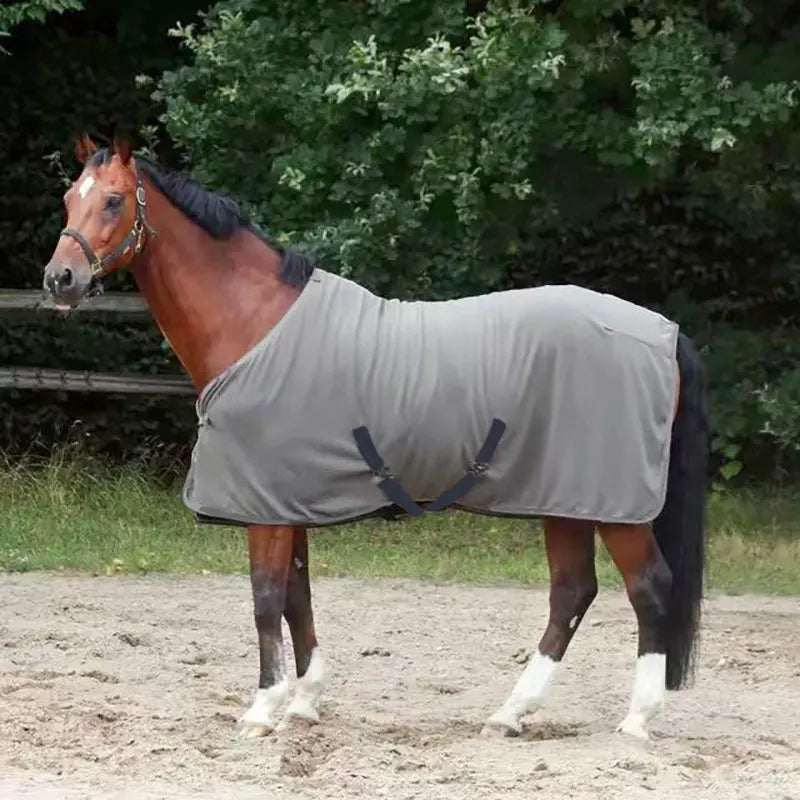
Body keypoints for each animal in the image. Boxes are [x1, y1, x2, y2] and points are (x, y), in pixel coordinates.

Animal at [42, 135, 708, 743]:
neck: (255, 323)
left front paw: (263, 710)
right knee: (572, 593)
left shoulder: (265, 508)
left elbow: (265, 597)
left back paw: (636, 720)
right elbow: (297, 595)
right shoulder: (287, 499)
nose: (59, 278)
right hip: (565, 500)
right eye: (69, 199)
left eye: (113, 200)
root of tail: (664, 332)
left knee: (648, 588)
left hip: (614, 507)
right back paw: (510, 714)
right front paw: (305, 703)